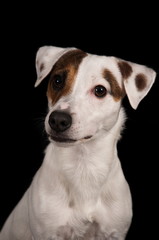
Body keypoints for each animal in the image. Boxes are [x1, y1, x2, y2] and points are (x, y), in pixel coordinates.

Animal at [0, 46, 156, 239]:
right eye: (57, 80)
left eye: (100, 90)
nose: (58, 120)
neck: (84, 166)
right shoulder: (48, 231)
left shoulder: (114, 232)